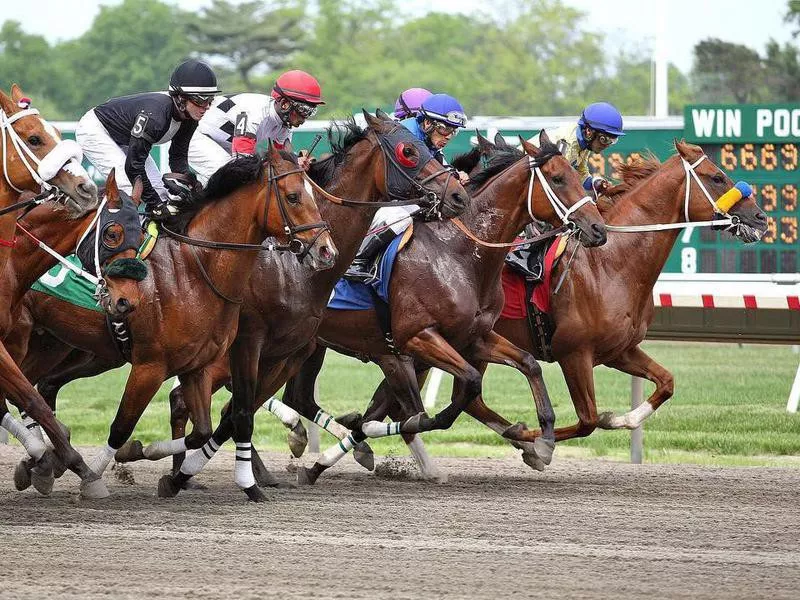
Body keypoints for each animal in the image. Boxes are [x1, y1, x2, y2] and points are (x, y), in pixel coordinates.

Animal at [276, 130, 608, 482]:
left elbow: (528, 364)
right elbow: (455, 393)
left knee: (298, 396)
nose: (597, 229)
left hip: (313, 343)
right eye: (557, 179)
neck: (458, 254)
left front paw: (543, 440)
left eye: (578, 176)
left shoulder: (473, 338)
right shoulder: (416, 339)